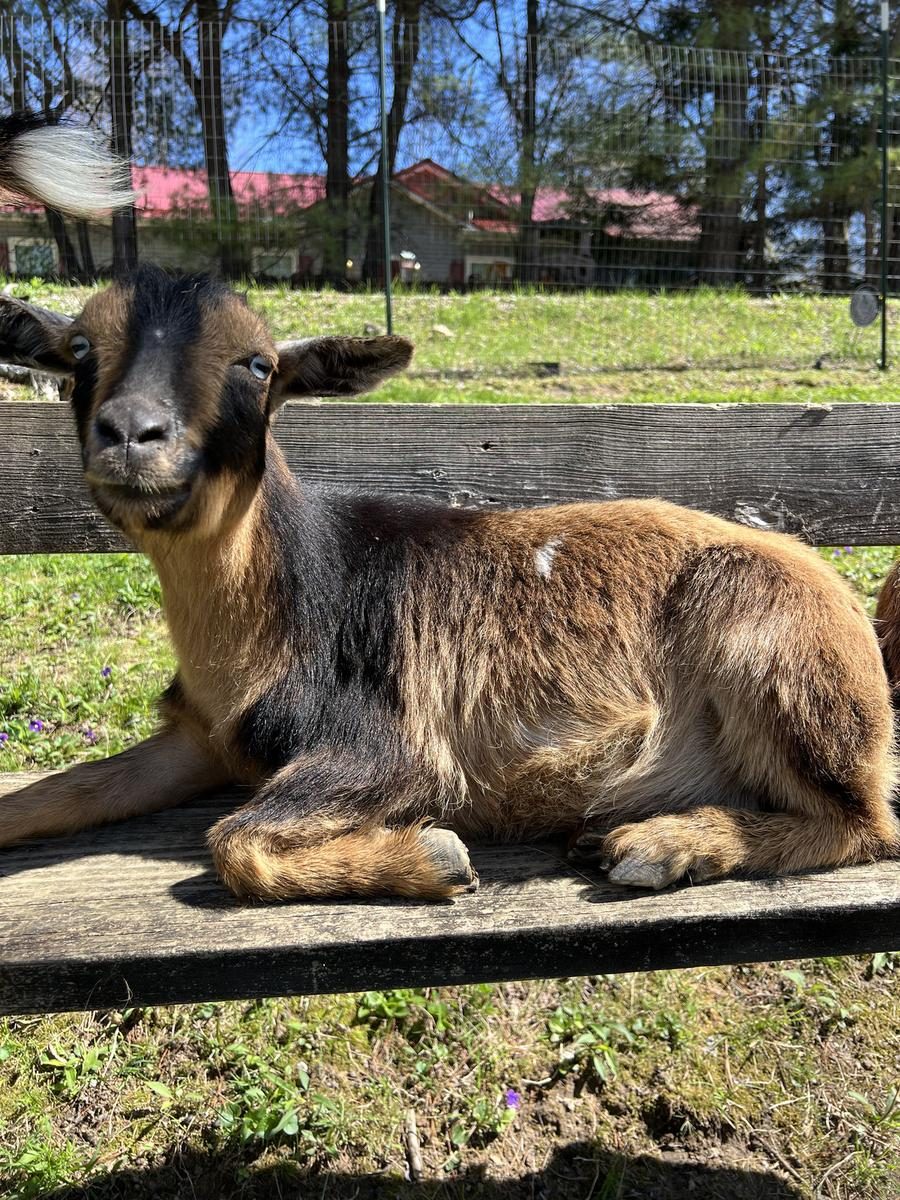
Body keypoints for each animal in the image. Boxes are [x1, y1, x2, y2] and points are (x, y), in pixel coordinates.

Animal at [0, 134, 898, 901]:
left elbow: (233, 842)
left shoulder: (390, 747)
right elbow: (45, 798)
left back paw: (656, 845)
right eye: (79, 351)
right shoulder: (197, 740)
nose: (132, 434)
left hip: (768, 650)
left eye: (257, 366)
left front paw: (431, 856)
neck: (283, 604)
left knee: (864, 824)